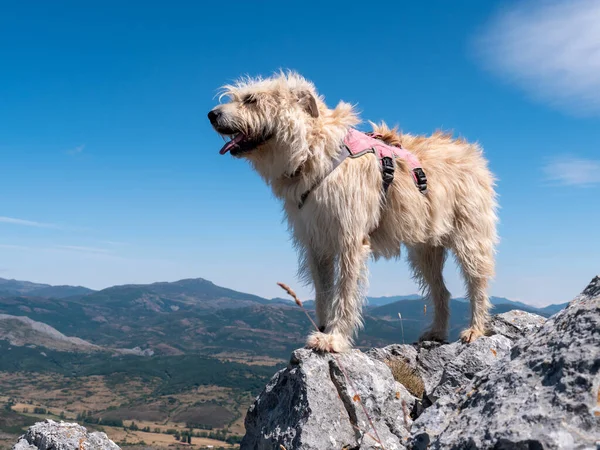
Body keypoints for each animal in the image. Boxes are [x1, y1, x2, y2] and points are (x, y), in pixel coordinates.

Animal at [209, 70, 500, 354]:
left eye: (252, 100)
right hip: (426, 249)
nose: (211, 114)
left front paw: (334, 339)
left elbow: (345, 291)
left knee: (477, 282)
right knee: (441, 291)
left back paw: (475, 329)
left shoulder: (350, 238)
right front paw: (323, 328)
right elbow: (323, 292)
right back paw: (437, 332)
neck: (313, 150)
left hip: (470, 238)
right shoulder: (317, 242)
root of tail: (471, 152)